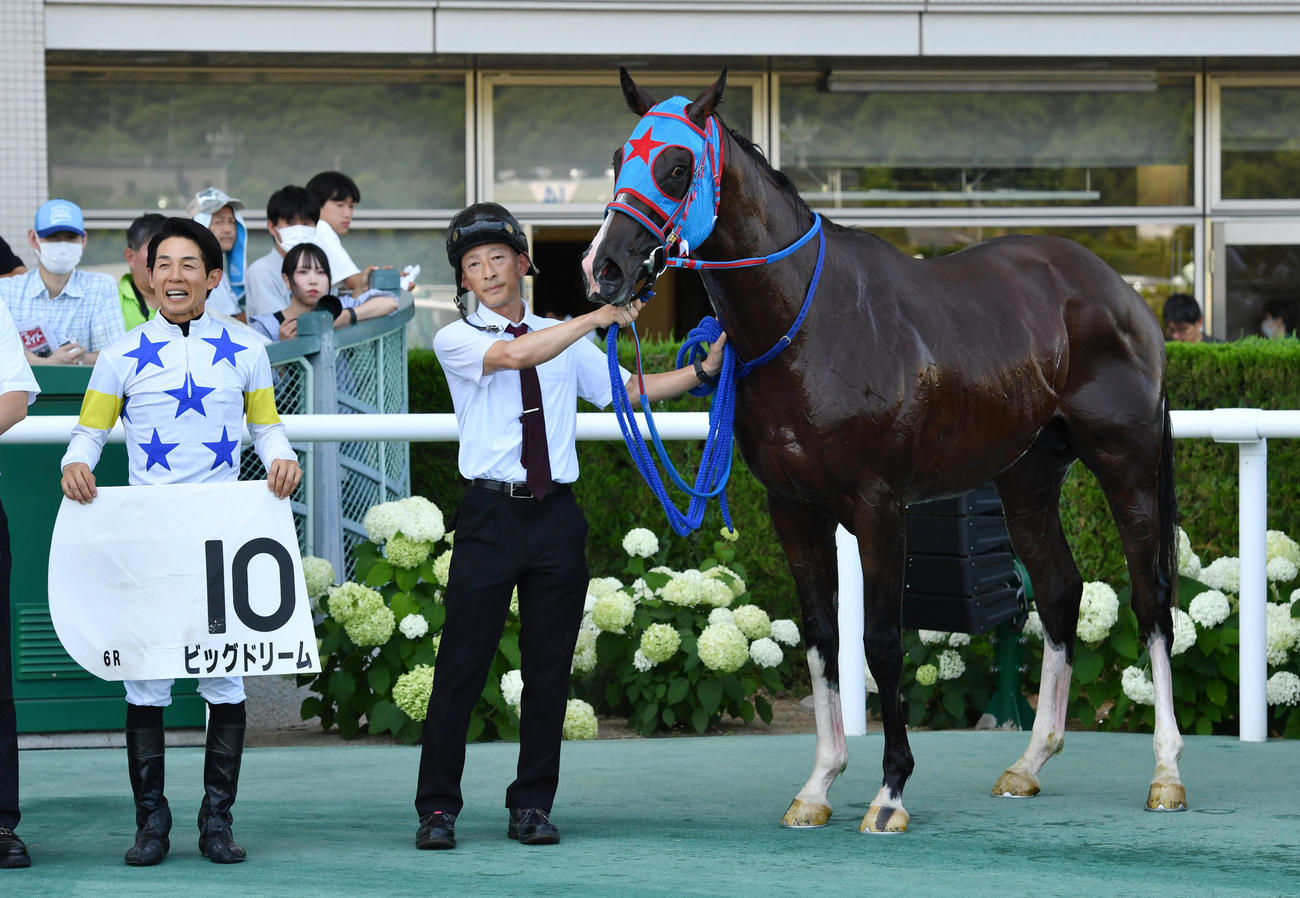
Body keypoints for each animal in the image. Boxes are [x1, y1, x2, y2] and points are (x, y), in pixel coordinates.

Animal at [581, 69, 1185, 834]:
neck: (810, 323)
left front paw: (890, 791)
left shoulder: (878, 506)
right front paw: (817, 786)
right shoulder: (795, 511)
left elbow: (882, 643)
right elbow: (822, 640)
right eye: (617, 158)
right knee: (1057, 592)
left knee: (1152, 600)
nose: (604, 267)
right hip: (1027, 476)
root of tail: (1119, 293)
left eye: (677, 166)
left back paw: (1166, 772)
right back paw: (1029, 763)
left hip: (1126, 465)